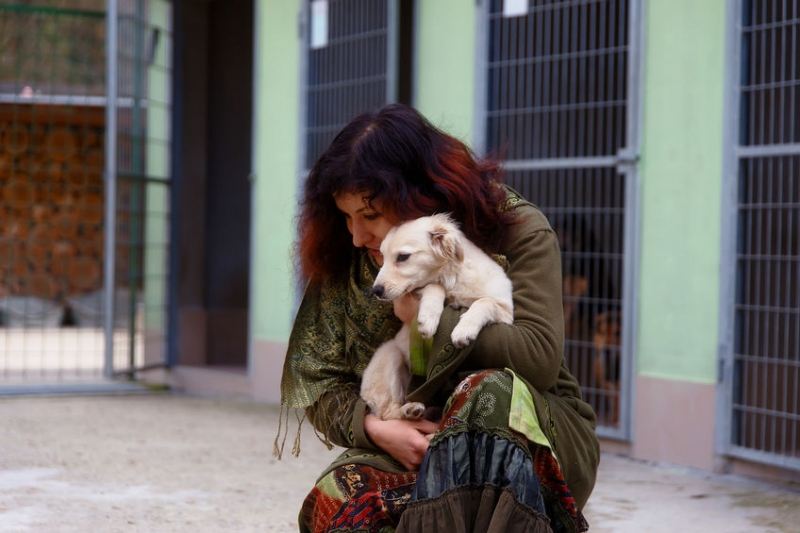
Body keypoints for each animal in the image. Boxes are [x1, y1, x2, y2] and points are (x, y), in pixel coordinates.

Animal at [360, 213, 516, 420]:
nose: (376, 291)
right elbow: (434, 286)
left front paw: (464, 329)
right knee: (388, 414)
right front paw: (428, 318)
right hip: (390, 354)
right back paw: (410, 409)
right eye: (383, 257)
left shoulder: (505, 311)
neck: (453, 278)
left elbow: (484, 302)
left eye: (403, 257)